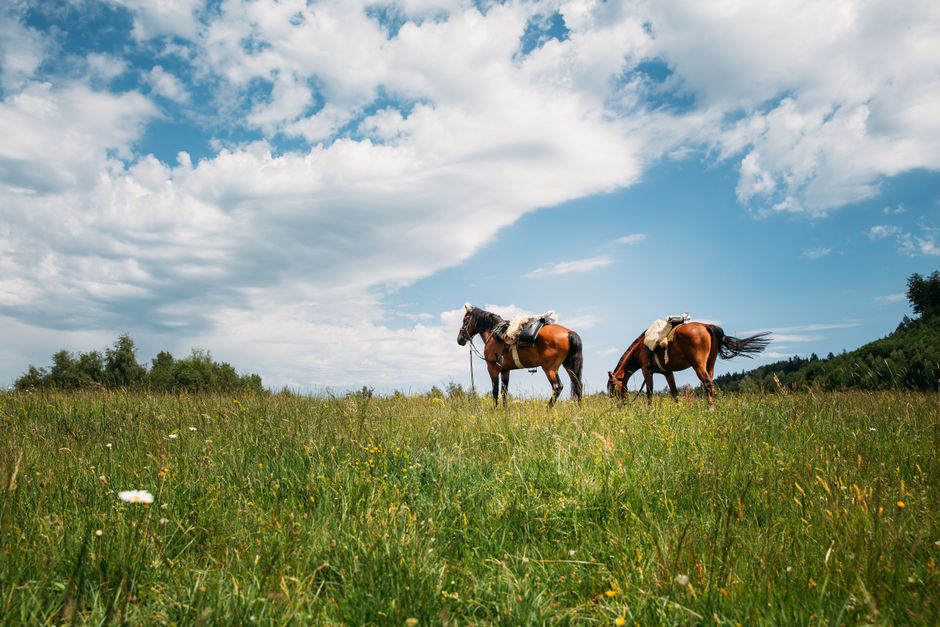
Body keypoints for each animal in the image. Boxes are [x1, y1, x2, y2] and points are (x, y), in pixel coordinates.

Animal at [608, 324, 772, 408]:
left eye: (613, 387)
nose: (619, 405)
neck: (641, 349)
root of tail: (706, 326)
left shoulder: (646, 370)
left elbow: (649, 394)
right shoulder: (668, 372)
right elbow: (674, 393)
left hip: (698, 364)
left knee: (707, 385)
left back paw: (710, 410)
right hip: (710, 364)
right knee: (710, 385)